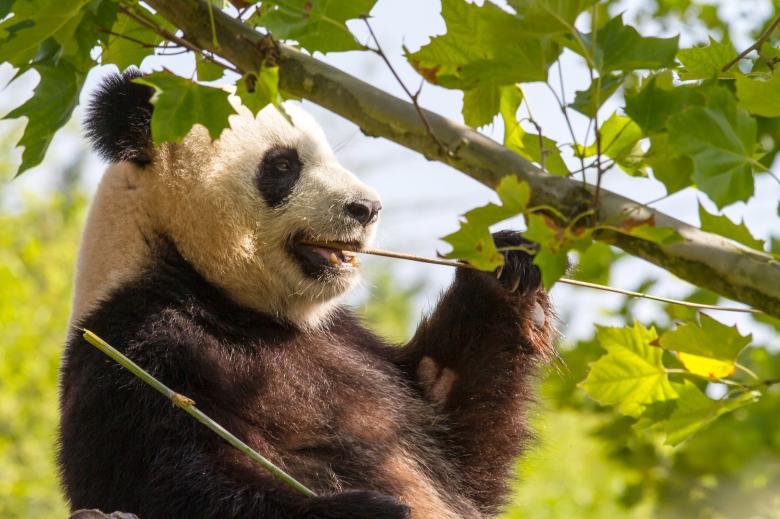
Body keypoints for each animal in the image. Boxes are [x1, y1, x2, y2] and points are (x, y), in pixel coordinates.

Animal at [58, 69, 556, 519]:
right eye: (283, 164)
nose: (367, 208)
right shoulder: (137, 343)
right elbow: (151, 480)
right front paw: (361, 511)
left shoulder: (355, 347)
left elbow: (457, 437)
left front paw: (507, 267)